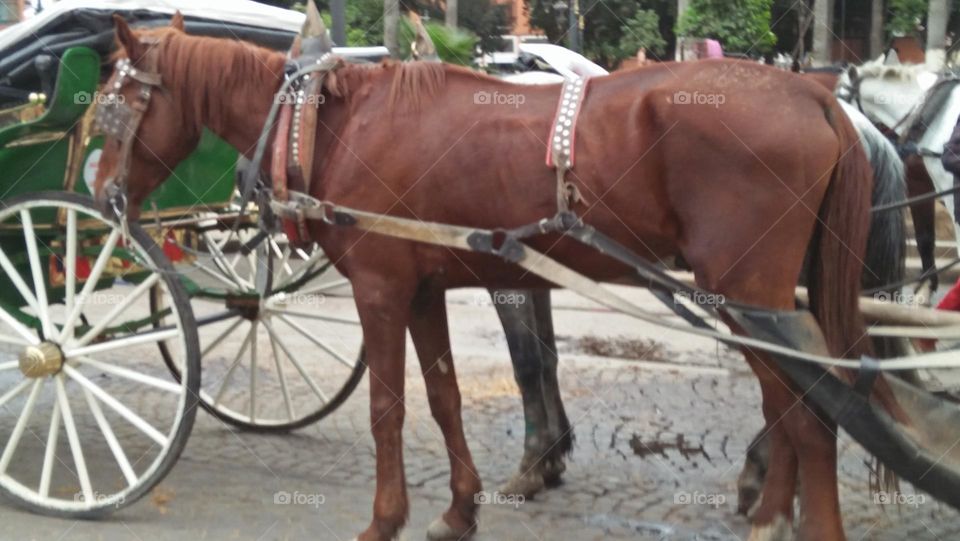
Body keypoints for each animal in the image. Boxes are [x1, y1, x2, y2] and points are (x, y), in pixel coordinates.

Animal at [95, 15, 884, 540]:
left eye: (111, 105)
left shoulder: (380, 291)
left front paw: (385, 518)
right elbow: (443, 399)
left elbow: (388, 409)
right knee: (792, 410)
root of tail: (814, 96)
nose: (102, 194)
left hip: (745, 292)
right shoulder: (422, 289)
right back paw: (774, 511)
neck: (329, 123)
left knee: (811, 419)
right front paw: (457, 507)